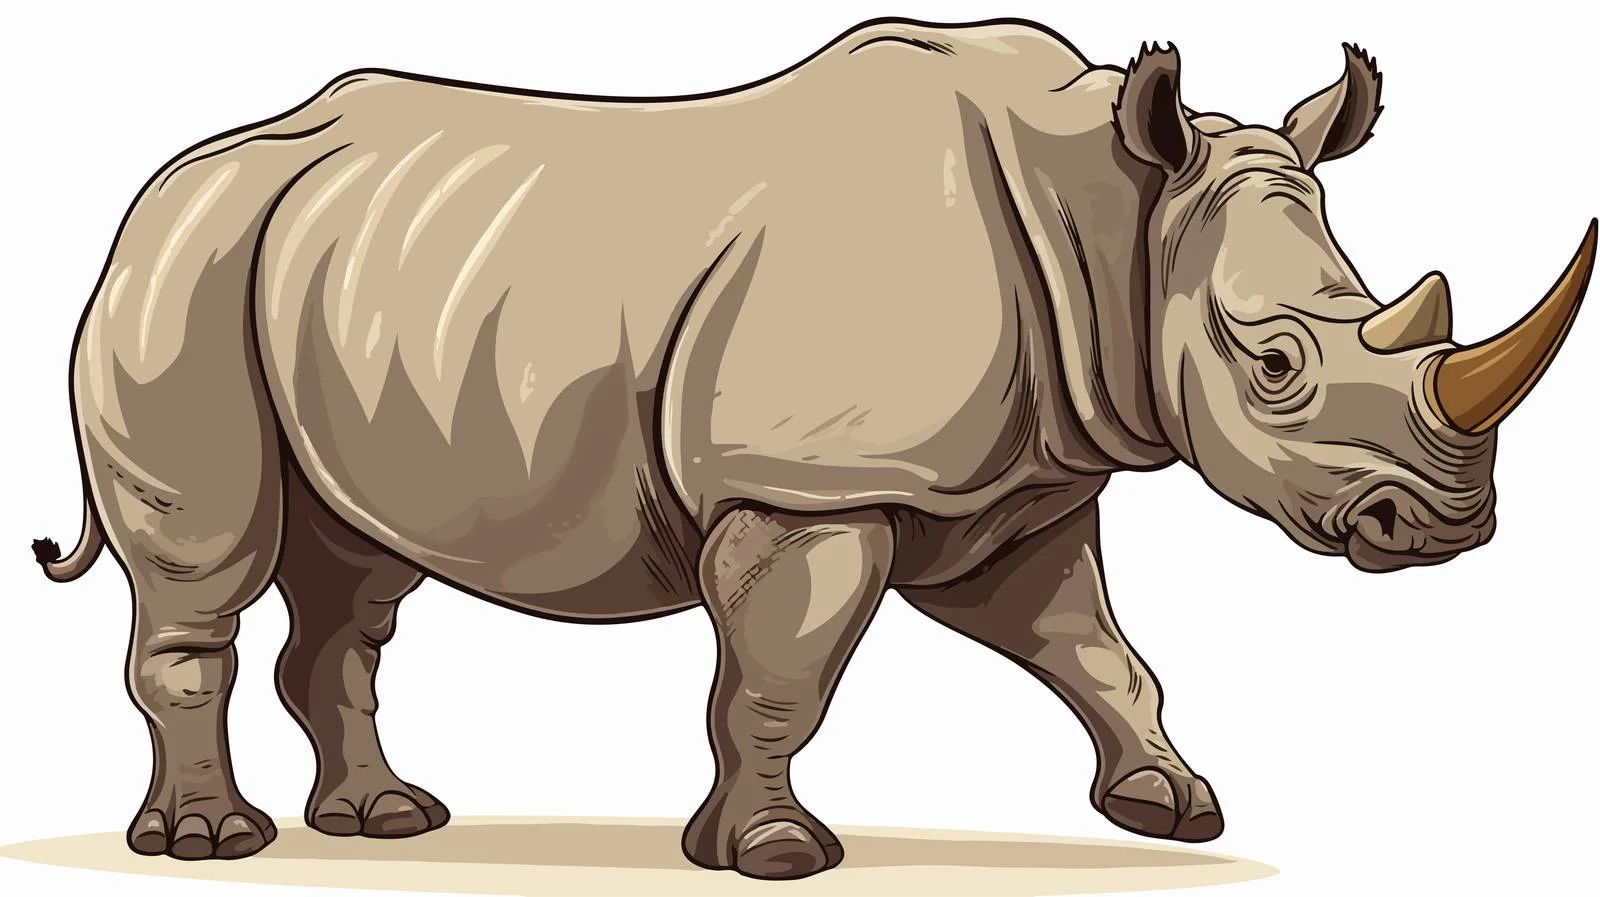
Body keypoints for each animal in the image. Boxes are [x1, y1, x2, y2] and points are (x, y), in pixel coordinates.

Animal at [32, 18, 1591, 880]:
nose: (1445, 527)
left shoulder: (1019, 485)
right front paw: (777, 856)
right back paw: (215, 846)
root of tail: (161, 187)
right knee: (212, 561)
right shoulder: (812, 482)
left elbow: (1093, 646)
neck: (1112, 217)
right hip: (185, 266)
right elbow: (784, 677)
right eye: (1272, 367)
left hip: (329, 280)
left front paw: (1172, 806)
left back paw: (388, 820)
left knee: (356, 575)